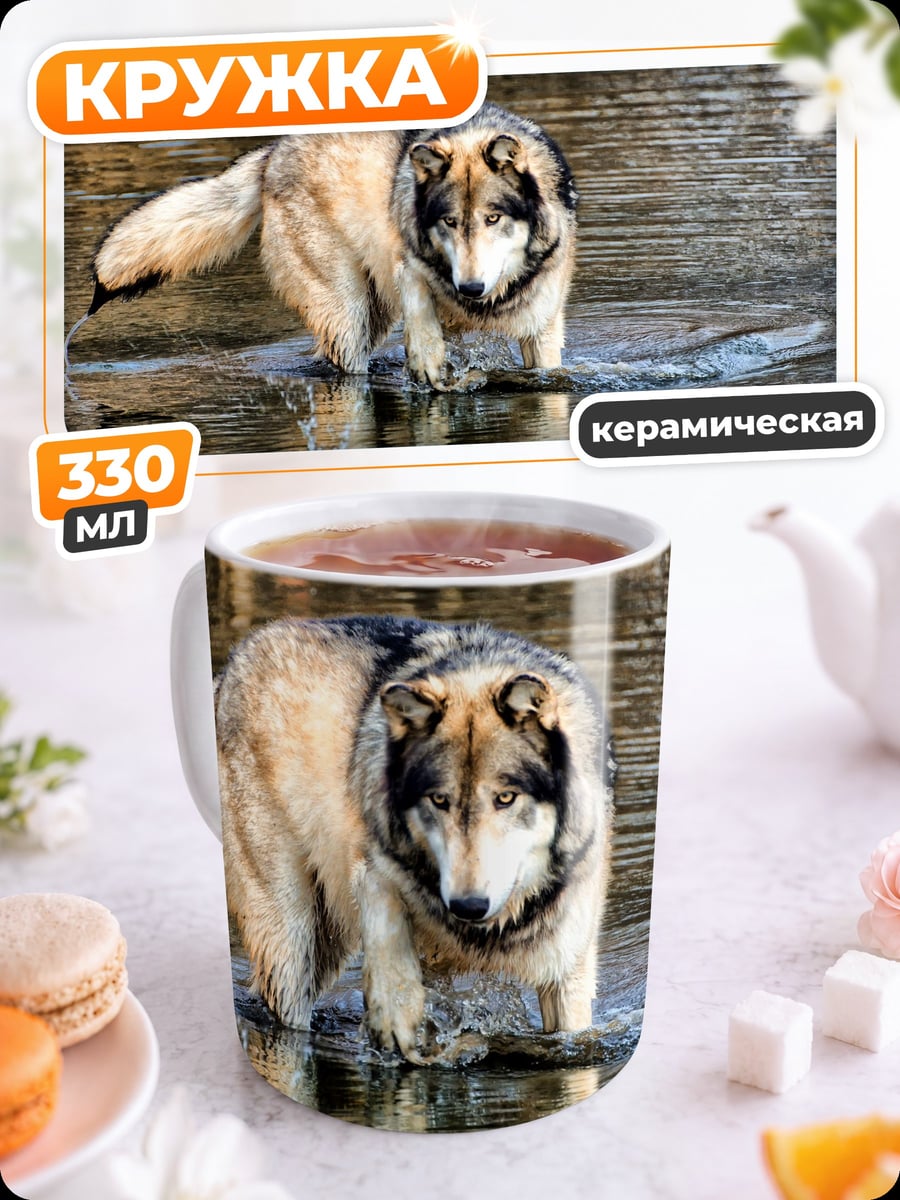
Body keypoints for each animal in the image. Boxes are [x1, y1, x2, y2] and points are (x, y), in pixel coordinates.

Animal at [88, 103, 578, 388]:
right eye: (450, 222)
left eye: (492, 219)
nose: (470, 288)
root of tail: (272, 152)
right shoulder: (407, 262)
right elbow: (419, 303)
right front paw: (427, 361)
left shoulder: (541, 328)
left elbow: (547, 374)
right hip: (349, 312)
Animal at [214, 615, 614, 1061]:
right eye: (439, 800)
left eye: (505, 798)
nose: (468, 906)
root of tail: (237, 658)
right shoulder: (371, 865)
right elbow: (387, 920)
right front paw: (397, 1016)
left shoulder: (569, 976)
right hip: (291, 941)